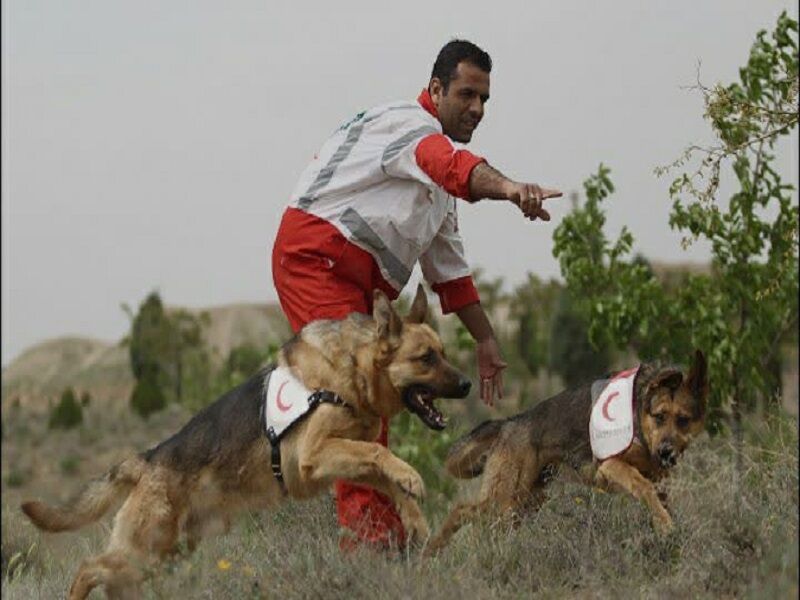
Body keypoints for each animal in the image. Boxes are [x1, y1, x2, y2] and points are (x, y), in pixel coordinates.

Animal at [20, 288, 468, 600]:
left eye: (444, 352)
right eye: (426, 358)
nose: (466, 384)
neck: (352, 371)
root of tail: (148, 459)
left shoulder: (340, 458)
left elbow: (385, 475)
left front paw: (415, 514)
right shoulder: (314, 455)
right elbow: (380, 453)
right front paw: (412, 479)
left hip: (161, 557)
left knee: (106, 575)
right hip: (144, 552)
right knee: (89, 567)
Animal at [428, 352, 708, 552]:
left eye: (683, 420)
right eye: (659, 416)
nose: (666, 453)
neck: (640, 413)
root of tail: (510, 422)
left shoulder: (658, 479)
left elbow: (659, 498)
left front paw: (670, 528)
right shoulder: (610, 466)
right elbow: (644, 487)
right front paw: (666, 527)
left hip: (525, 503)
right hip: (505, 501)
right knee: (460, 510)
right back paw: (430, 551)